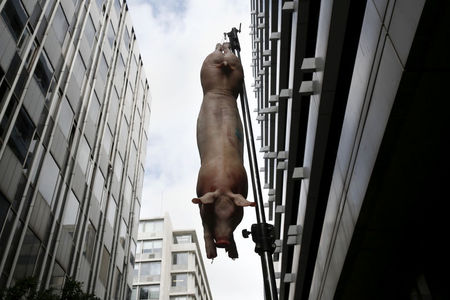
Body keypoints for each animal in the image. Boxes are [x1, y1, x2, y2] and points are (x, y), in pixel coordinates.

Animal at [194, 41, 256, 258]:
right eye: (212, 212)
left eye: (235, 215)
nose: (222, 242)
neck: (221, 183)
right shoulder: (201, 198)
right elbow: (203, 226)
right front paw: (211, 255)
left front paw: (233, 255)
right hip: (220, 66)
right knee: (222, 54)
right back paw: (224, 45)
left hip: (220, 69)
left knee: (221, 52)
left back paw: (223, 44)